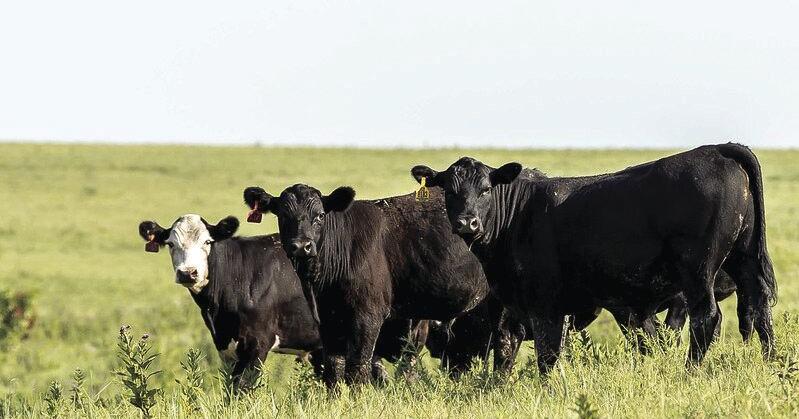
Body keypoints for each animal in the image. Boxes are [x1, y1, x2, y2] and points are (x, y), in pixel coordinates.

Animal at [137, 214, 427, 383]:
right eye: (171, 244)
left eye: (208, 242)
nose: (188, 273)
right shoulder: (226, 347)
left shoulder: (257, 343)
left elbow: (243, 389)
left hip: (410, 338)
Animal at [243, 185, 492, 388]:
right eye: (283, 216)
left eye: (320, 215)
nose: (301, 246)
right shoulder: (327, 319)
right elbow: (333, 369)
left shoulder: (368, 316)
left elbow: (358, 367)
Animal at [412, 143, 776, 374]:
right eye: (450, 190)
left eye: (486, 189)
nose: (467, 222)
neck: (519, 215)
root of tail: (718, 149)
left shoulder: (544, 303)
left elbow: (547, 354)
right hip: (743, 258)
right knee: (760, 310)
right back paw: (772, 365)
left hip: (698, 269)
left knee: (707, 318)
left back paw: (689, 373)